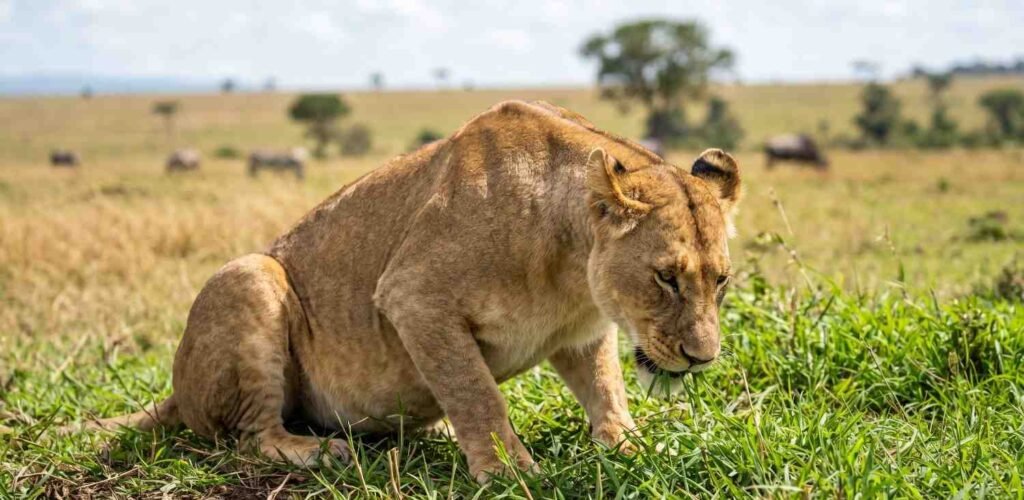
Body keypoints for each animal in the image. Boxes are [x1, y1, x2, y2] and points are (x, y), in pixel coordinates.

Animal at [81, 100, 742, 483]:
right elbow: (477, 392)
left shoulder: (581, 331)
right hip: (249, 275)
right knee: (249, 438)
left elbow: (605, 388)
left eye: (721, 279)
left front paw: (632, 447)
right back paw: (316, 451)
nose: (702, 359)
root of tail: (174, 390)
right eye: (665, 277)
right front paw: (509, 471)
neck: (572, 264)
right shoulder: (412, 296)